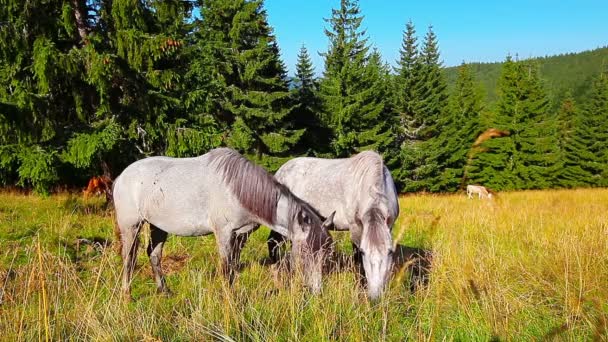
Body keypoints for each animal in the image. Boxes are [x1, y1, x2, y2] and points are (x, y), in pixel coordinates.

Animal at [111, 148, 334, 298]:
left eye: (325, 254)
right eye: (305, 253)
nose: (317, 291)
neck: (237, 189)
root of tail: (121, 176)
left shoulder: (241, 235)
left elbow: (234, 266)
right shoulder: (224, 233)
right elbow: (227, 269)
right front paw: (230, 299)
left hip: (158, 226)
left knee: (154, 254)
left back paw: (164, 290)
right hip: (131, 226)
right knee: (129, 258)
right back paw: (127, 295)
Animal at [266, 151, 400, 300]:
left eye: (390, 251)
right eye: (363, 252)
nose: (376, 296)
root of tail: (280, 171)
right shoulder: (356, 229)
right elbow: (358, 261)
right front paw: (360, 290)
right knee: (273, 243)